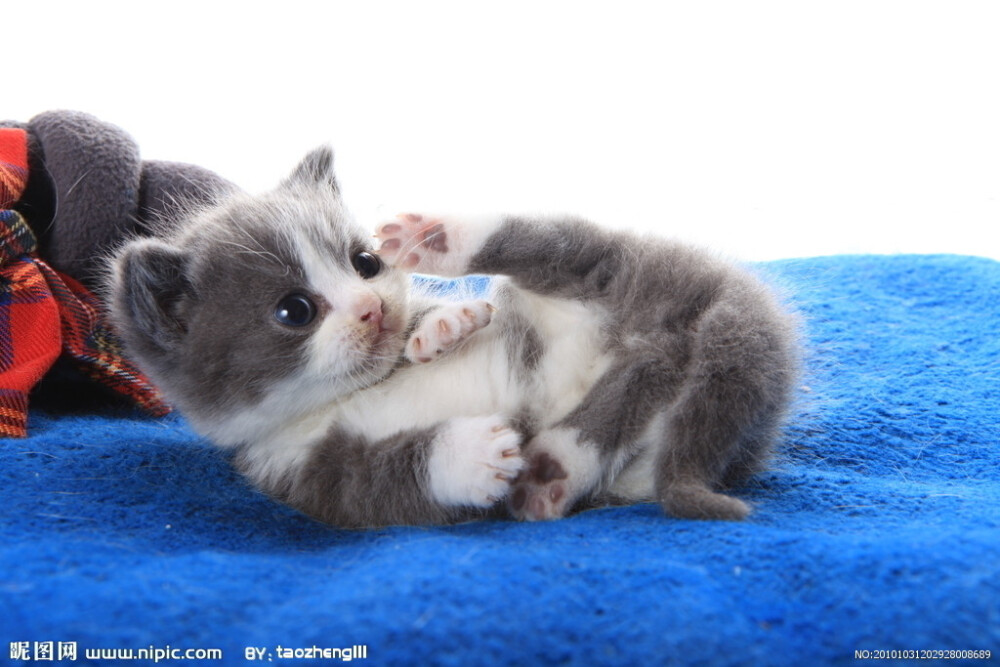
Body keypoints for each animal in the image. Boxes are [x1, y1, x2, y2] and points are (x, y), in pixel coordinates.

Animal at [107, 149, 796, 528]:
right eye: (294, 310)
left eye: (363, 263)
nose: (369, 309)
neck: (347, 395)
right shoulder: (298, 475)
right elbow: (378, 486)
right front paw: (471, 455)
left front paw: (440, 326)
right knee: (626, 396)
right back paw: (553, 465)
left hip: (619, 275)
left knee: (568, 248)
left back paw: (441, 237)